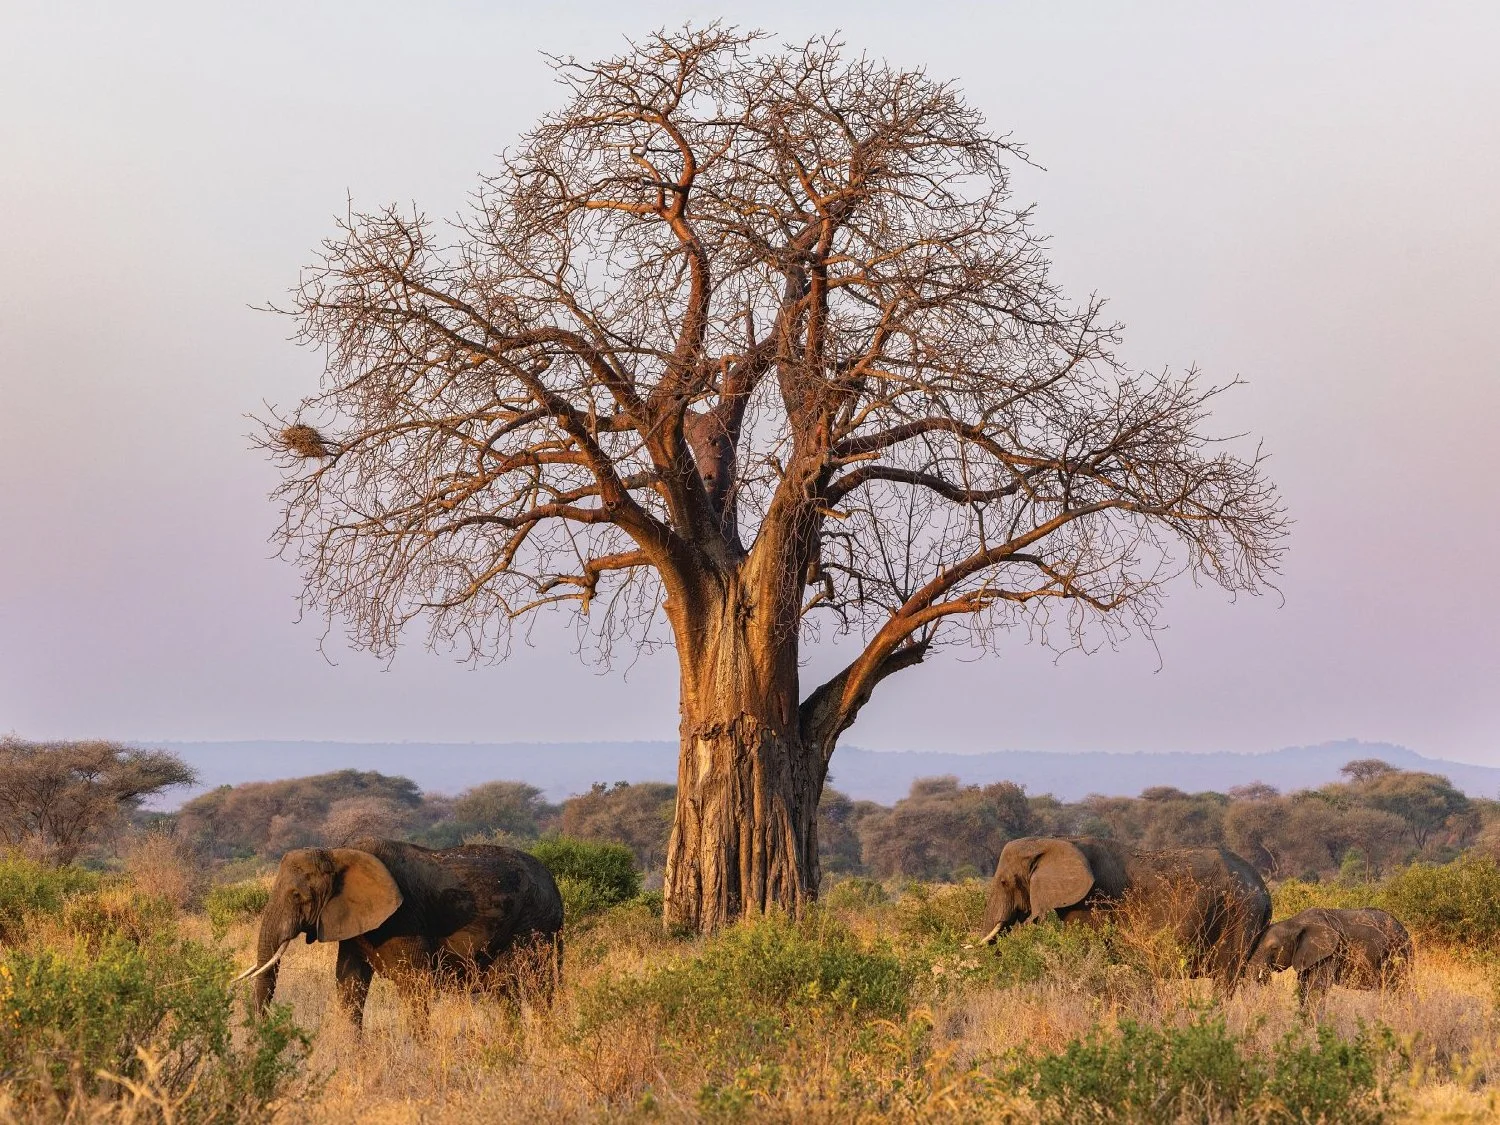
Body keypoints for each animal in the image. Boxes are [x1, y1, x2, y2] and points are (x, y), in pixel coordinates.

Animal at [235, 838, 564, 1029]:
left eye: (297, 896)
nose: (263, 1031)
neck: (337, 852)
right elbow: (349, 982)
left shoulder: (403, 919)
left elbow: (414, 984)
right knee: (508, 994)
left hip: (536, 926)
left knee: (534, 989)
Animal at [978, 836, 1272, 992]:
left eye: (1003, 882)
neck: (1056, 841)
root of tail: (1265, 891)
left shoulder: (1092, 903)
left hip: (1239, 914)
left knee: (1225, 978)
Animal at [1247, 907, 1413, 1005]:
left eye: (1274, 948)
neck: (1295, 923)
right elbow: (1304, 987)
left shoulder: (1328, 953)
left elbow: (1316, 988)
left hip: (1398, 952)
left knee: (1398, 987)